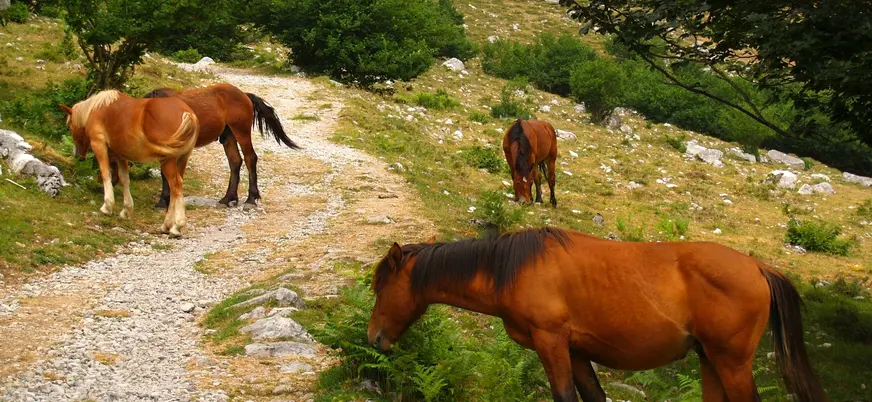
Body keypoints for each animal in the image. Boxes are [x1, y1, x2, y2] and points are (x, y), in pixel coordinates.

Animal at [61, 90, 199, 237]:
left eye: (69, 127)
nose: (77, 155)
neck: (98, 109)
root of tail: (188, 113)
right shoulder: (120, 155)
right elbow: (124, 179)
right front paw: (126, 210)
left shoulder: (99, 145)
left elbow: (105, 174)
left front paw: (107, 206)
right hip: (181, 161)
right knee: (175, 189)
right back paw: (166, 226)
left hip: (168, 161)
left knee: (175, 186)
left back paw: (176, 226)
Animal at [140, 83, 300, 209]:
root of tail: (245, 95)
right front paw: (163, 202)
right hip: (228, 136)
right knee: (235, 161)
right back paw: (227, 199)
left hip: (241, 131)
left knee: (250, 158)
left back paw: (250, 200)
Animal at [368, 227, 828, 402]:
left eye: (379, 287)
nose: (374, 337)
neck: (515, 269)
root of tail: (758, 268)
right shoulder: (576, 352)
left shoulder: (551, 343)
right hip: (710, 360)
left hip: (731, 363)